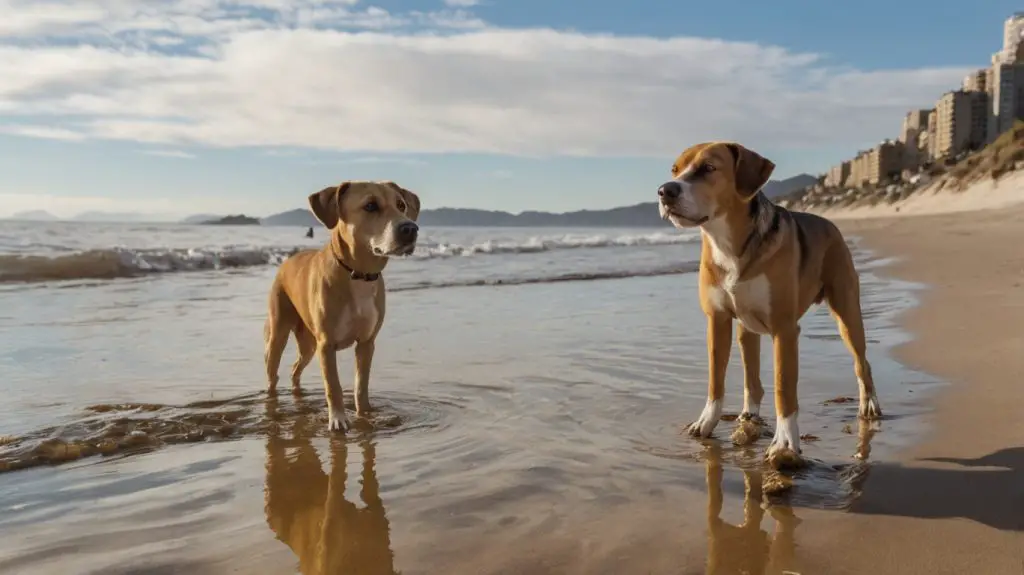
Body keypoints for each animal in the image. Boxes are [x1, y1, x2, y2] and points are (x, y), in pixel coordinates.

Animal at [268, 179, 423, 429]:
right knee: (273, 373)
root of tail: (288, 260)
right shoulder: (326, 345)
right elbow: (333, 386)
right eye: (370, 206)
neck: (358, 274)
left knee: (295, 369)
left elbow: (361, 385)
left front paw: (365, 415)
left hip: (308, 344)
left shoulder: (367, 343)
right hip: (279, 333)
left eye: (401, 205)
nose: (410, 228)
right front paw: (338, 420)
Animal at [659, 142, 884, 466]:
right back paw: (748, 415)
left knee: (861, 362)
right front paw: (707, 422)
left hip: (847, 312)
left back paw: (869, 404)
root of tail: (829, 222)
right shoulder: (718, 320)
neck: (728, 244)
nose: (665, 191)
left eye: (708, 168)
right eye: (675, 170)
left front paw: (785, 444)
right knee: (752, 379)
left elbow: (784, 387)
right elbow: (716, 379)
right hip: (746, 328)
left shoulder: (785, 329)